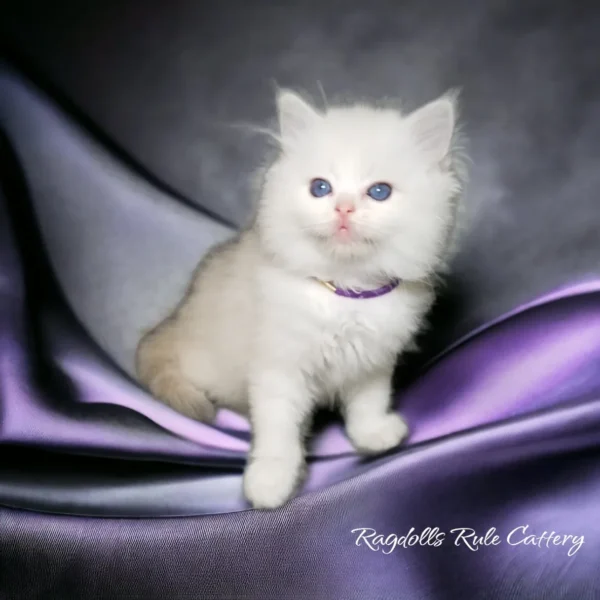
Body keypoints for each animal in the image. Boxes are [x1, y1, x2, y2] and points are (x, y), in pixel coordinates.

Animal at [137, 89, 468, 508]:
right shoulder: (279, 367)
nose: (343, 208)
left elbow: (369, 402)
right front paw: (270, 483)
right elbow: (278, 432)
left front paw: (373, 435)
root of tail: (173, 322)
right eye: (320, 188)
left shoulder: (372, 360)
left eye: (379, 192)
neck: (346, 291)